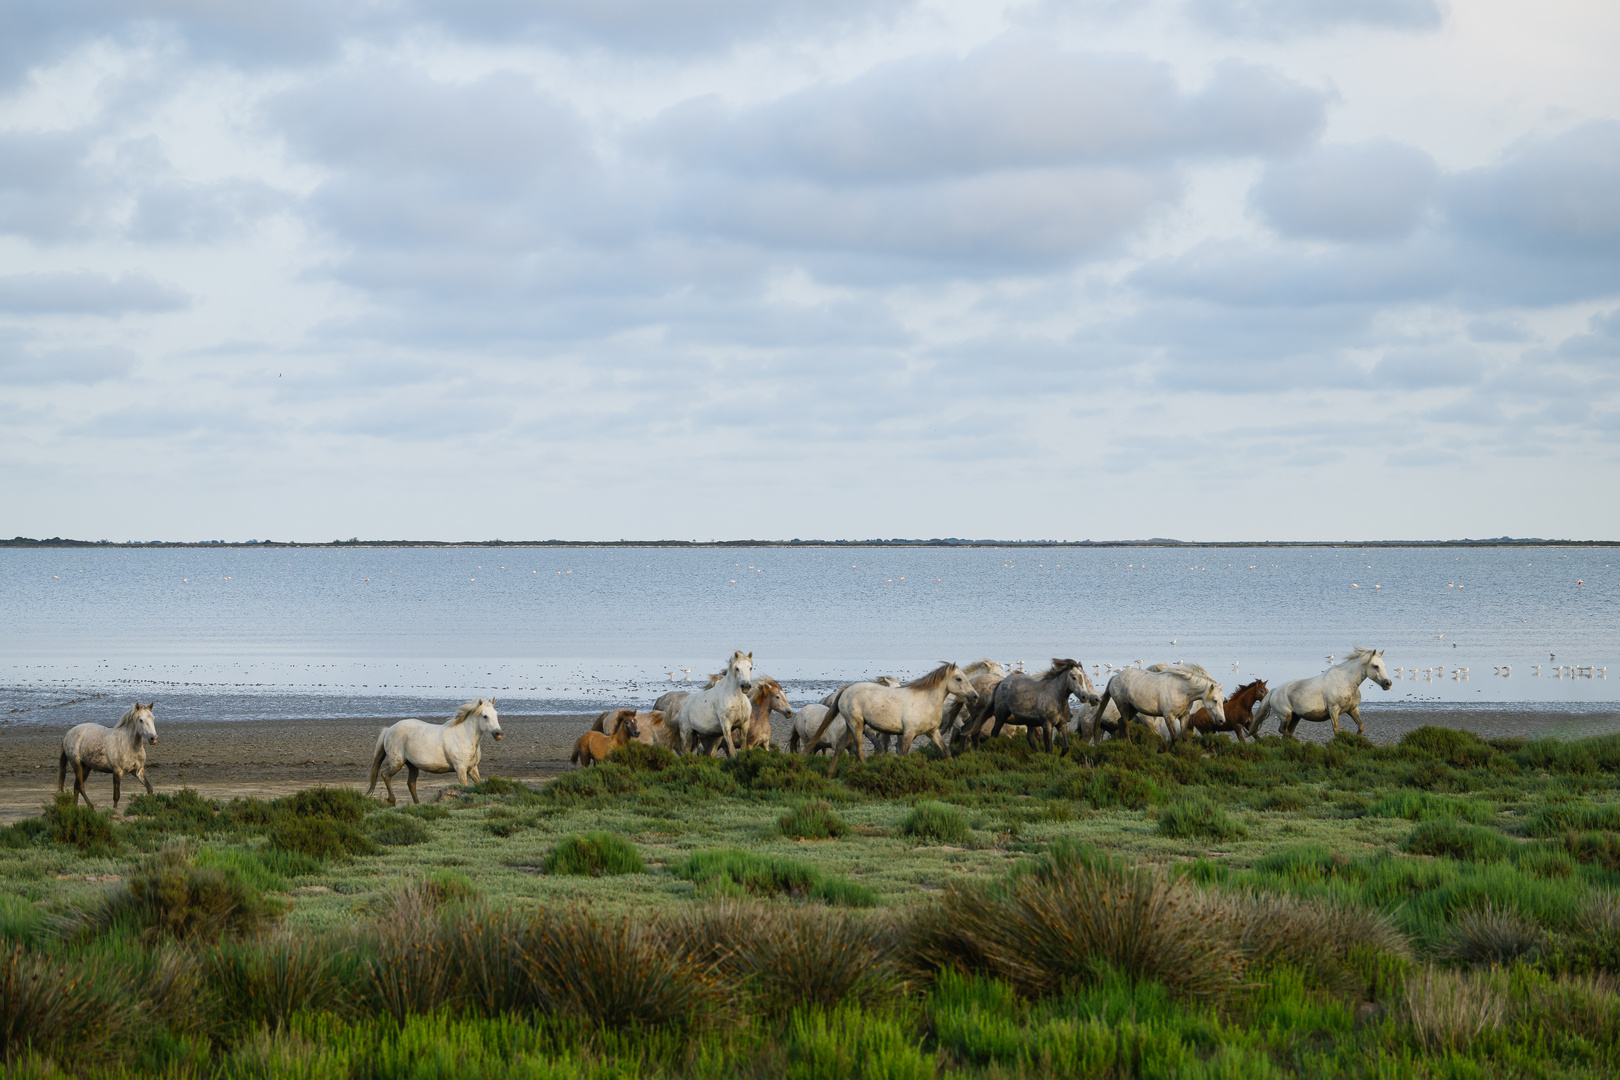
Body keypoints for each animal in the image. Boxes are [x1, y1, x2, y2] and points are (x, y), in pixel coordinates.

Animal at [367, 696, 498, 806]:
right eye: (485, 716)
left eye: (496, 714)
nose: (498, 733)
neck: (464, 736)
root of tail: (389, 729)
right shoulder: (461, 769)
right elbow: (464, 787)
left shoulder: (472, 768)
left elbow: (479, 785)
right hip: (397, 763)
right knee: (385, 775)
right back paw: (392, 801)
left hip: (412, 765)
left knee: (411, 783)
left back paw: (417, 804)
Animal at [806, 660, 978, 777]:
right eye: (958, 679)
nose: (975, 696)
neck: (925, 701)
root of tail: (845, 691)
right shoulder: (908, 733)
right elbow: (903, 754)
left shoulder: (932, 732)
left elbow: (946, 752)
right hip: (857, 724)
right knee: (858, 750)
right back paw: (867, 769)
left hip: (850, 725)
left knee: (840, 748)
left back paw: (829, 775)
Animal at [1250, 647, 1393, 738]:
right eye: (1375, 666)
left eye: (1384, 665)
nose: (1388, 683)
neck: (1345, 681)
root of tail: (1274, 691)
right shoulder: (1333, 710)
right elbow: (1336, 730)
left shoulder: (1353, 709)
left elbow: (1361, 726)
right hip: (1286, 716)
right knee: (1282, 730)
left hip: (1296, 717)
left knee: (1287, 732)